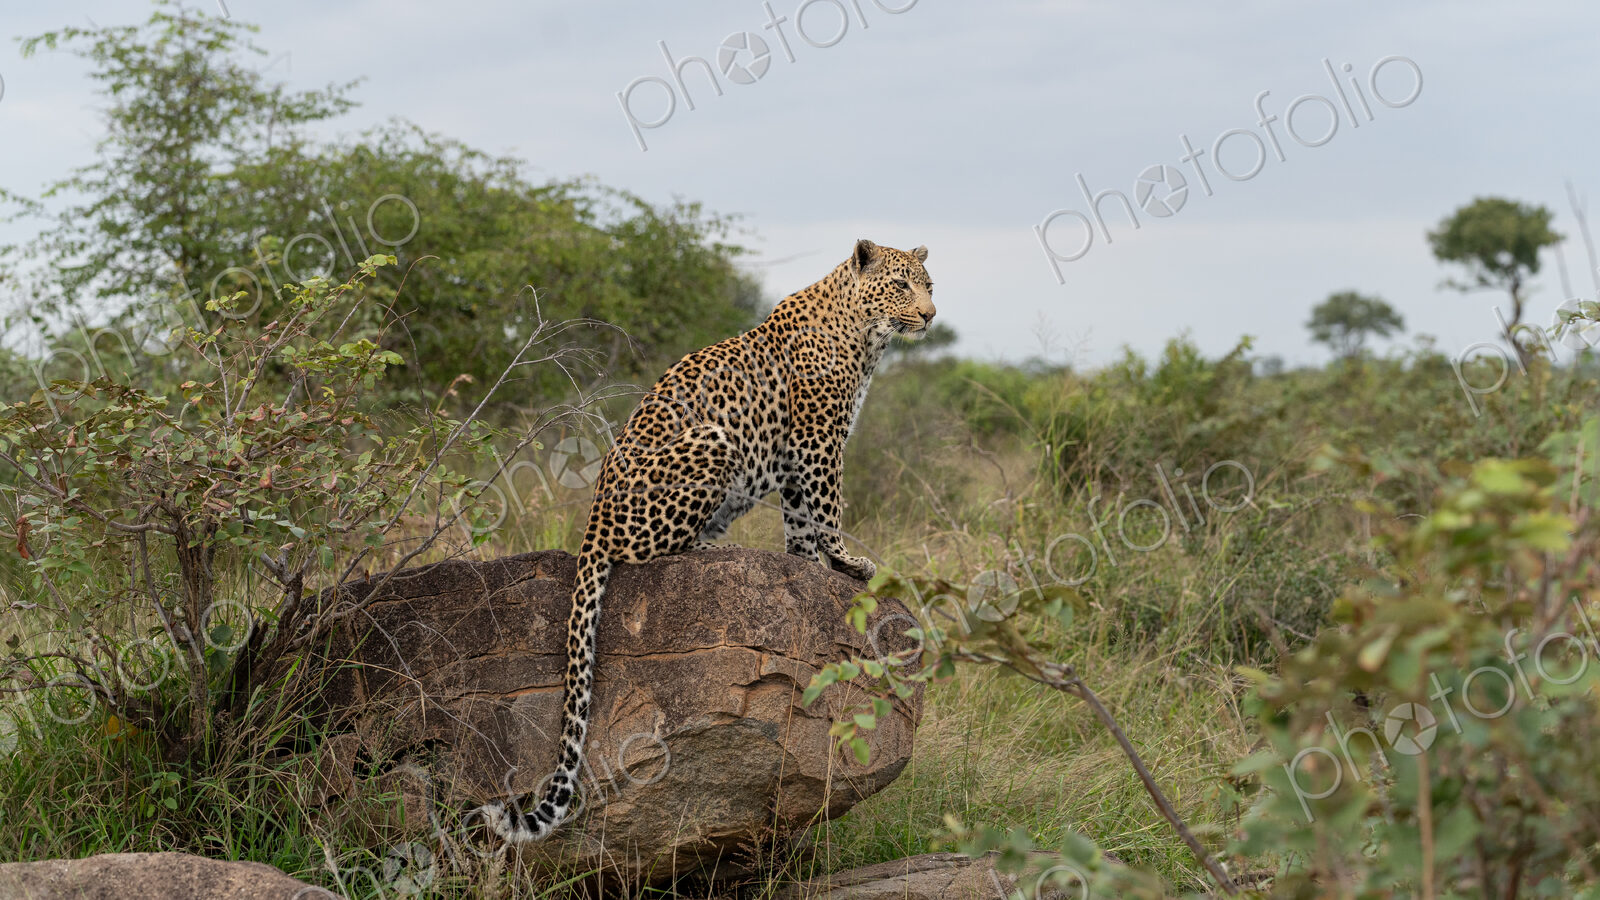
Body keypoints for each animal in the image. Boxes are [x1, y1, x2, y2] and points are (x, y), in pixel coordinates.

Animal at [477, 239, 936, 843]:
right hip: (714, 442)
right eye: (902, 285)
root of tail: (594, 518)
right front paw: (846, 562)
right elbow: (828, 510)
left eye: (929, 284)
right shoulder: (819, 441)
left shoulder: (795, 458)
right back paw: (717, 551)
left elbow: (800, 523)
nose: (931, 315)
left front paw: (806, 566)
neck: (864, 336)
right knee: (647, 551)